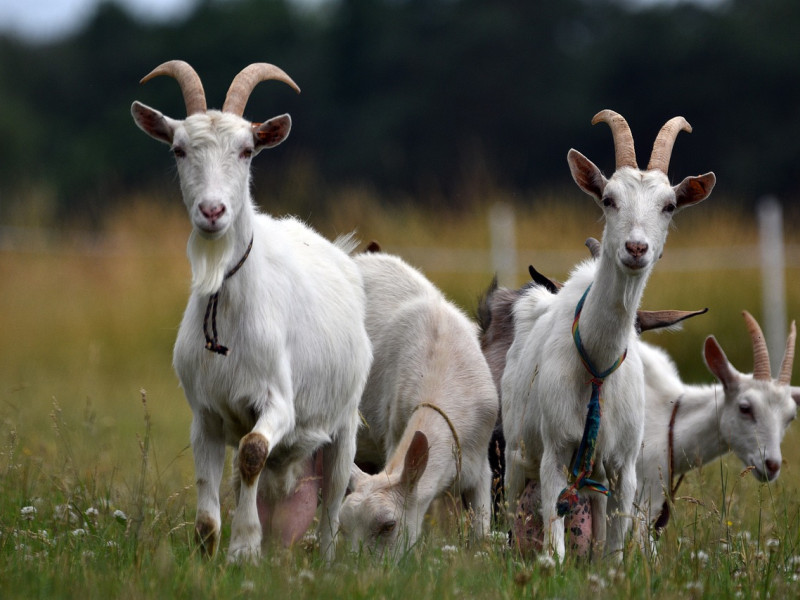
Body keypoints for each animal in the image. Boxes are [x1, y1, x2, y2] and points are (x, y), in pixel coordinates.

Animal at [130, 59, 374, 564]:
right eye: (179, 149)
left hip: (344, 423)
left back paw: (326, 561)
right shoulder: (204, 413)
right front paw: (208, 554)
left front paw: (244, 548)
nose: (212, 210)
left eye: (246, 151)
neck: (226, 308)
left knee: (333, 499)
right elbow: (211, 489)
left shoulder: (277, 401)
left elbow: (251, 453)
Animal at [340, 250, 500, 556]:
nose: (355, 565)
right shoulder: (394, 432)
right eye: (343, 528)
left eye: (388, 525)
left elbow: (481, 533)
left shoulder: (481, 469)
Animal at [504, 110, 716, 560]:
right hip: (517, 453)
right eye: (608, 199)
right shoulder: (555, 454)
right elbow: (555, 542)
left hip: (595, 475)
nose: (636, 248)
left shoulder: (624, 467)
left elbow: (615, 548)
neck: (597, 366)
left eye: (669, 206)